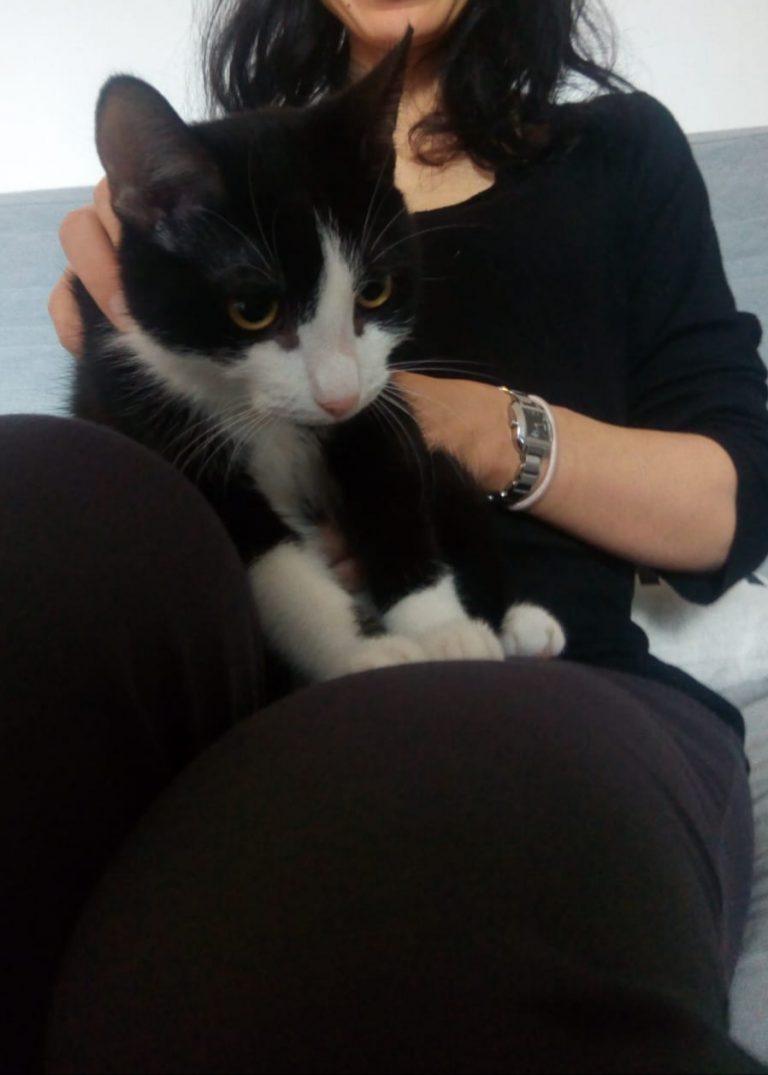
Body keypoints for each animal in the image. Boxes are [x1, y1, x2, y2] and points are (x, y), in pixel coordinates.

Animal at [71, 32, 565, 685]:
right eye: (253, 309)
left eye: (374, 291)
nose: (338, 394)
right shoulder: (138, 399)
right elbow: (266, 558)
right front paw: (360, 652)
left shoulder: (380, 400)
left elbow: (392, 490)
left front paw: (442, 631)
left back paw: (519, 624)